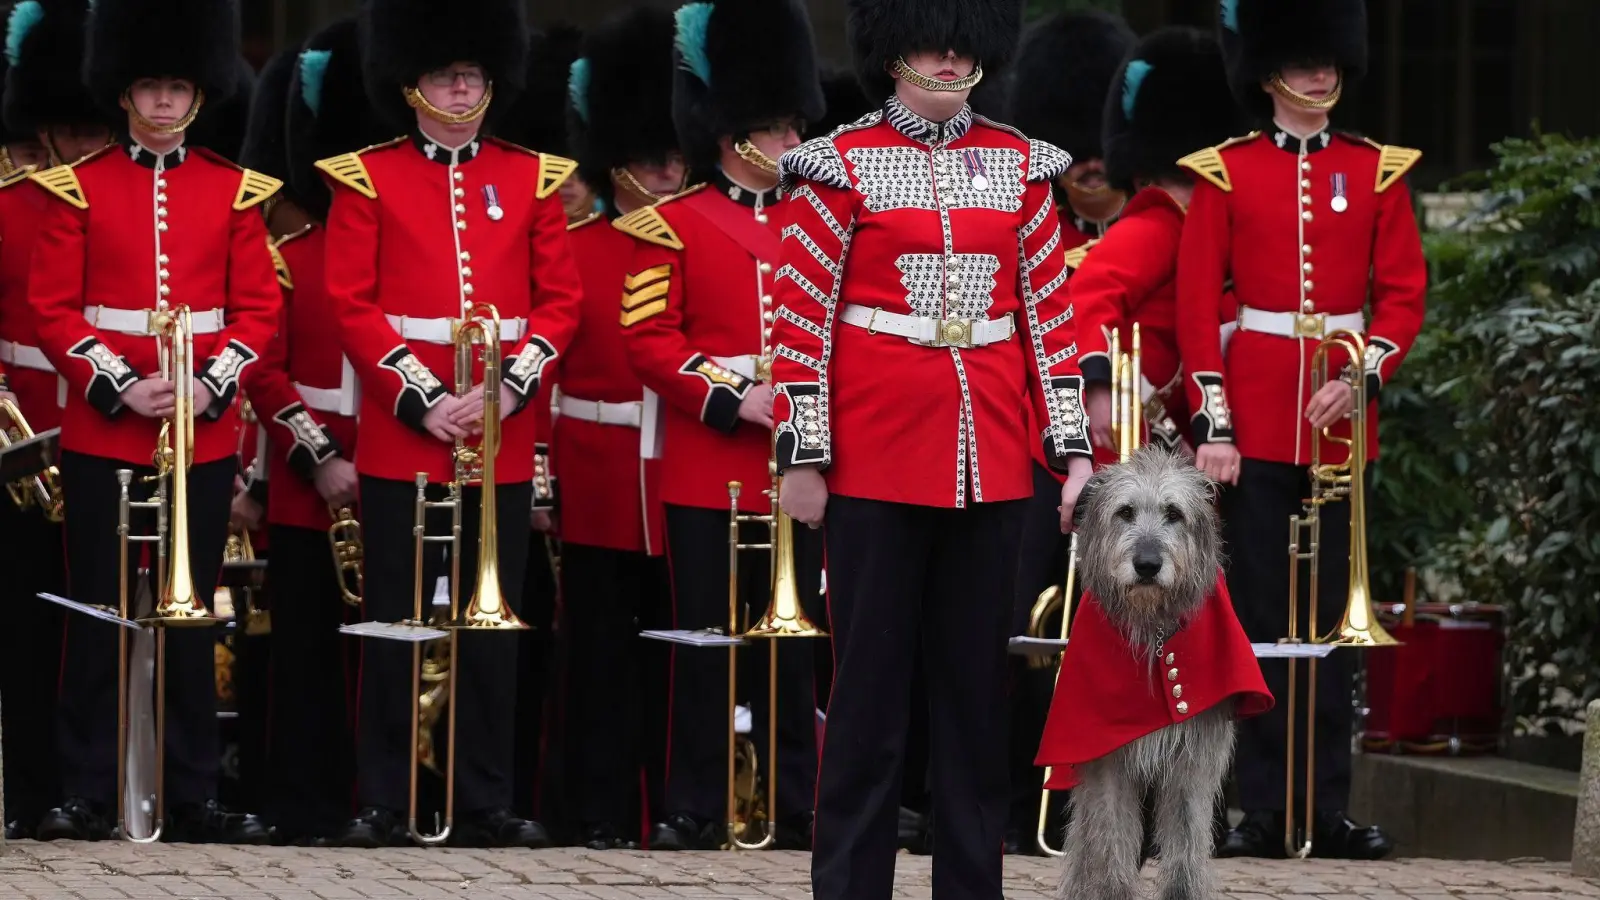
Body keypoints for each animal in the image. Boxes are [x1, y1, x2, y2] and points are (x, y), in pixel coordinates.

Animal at [1062, 448, 1235, 896]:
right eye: (1125, 512)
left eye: (1174, 513)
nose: (1147, 564)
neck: (1154, 629)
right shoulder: (1106, 757)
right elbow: (1110, 840)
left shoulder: (1193, 757)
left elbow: (1187, 839)